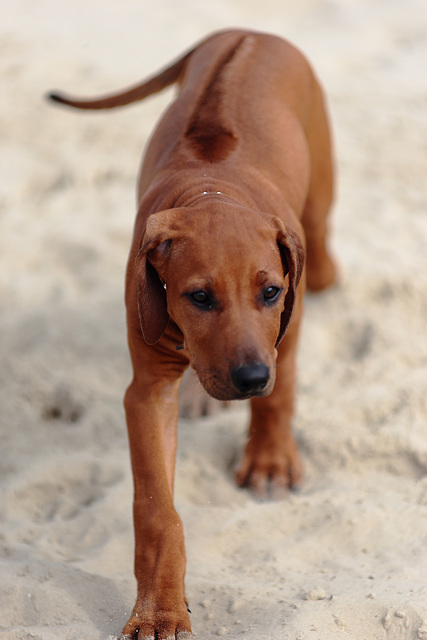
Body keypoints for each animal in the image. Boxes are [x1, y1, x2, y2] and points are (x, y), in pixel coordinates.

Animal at [49, 28, 338, 640]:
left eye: (270, 292)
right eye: (199, 297)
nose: (249, 377)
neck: (213, 189)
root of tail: (243, 32)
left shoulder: (286, 324)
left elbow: (281, 393)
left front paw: (270, 462)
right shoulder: (147, 389)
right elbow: (157, 509)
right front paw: (159, 608)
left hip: (321, 216)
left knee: (326, 265)